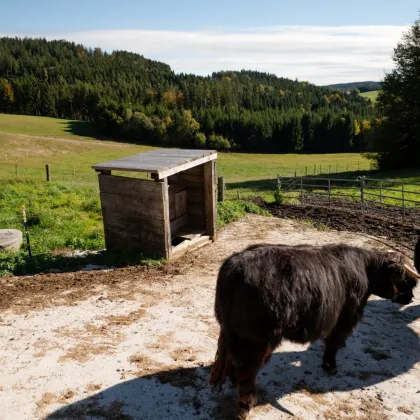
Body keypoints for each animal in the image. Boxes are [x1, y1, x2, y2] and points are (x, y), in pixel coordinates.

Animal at [210, 241, 420, 418]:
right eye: (405, 280)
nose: (410, 298)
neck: (366, 271)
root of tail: (235, 266)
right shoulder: (344, 319)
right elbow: (333, 343)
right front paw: (330, 366)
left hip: (233, 334)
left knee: (235, 362)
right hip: (256, 340)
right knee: (247, 369)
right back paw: (245, 406)